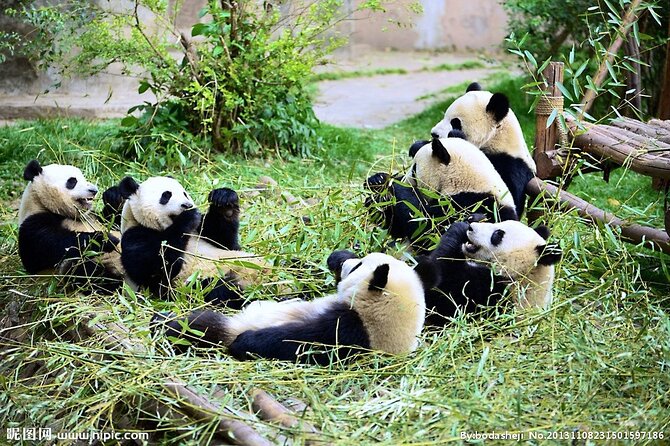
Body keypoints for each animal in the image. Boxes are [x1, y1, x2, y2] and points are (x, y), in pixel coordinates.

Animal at [18, 160, 124, 291]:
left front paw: (113, 196)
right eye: (72, 181)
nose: (94, 190)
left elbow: (115, 221)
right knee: (85, 271)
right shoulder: (33, 224)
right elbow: (55, 244)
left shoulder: (93, 217)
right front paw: (104, 239)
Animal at [118, 175, 269, 308]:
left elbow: (227, 243)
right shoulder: (135, 235)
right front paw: (187, 217)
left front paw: (225, 201)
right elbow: (156, 268)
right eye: (166, 195)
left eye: (185, 194)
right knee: (219, 290)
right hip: (198, 282)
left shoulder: (201, 231)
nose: (187, 205)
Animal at [152, 250, 439, 364]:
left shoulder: (350, 330)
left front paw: (245, 342)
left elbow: (298, 341)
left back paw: (166, 322)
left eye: (359, 266)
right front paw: (336, 257)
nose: (348, 264)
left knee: (201, 327)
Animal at [365, 133, 517, 249]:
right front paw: (377, 183)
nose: (405, 181)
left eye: (414, 170)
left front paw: (396, 187)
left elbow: (427, 228)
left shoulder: (472, 204)